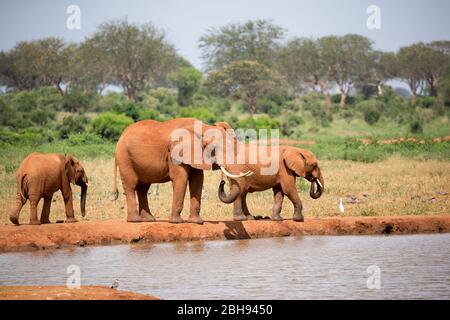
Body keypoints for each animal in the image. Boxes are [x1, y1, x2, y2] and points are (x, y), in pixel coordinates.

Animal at [113, 117, 253, 225]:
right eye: (214, 149)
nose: (222, 182)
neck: (203, 128)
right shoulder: (174, 153)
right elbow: (181, 179)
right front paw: (177, 222)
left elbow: (198, 180)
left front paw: (197, 222)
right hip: (124, 156)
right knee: (131, 184)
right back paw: (135, 220)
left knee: (143, 188)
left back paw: (149, 220)